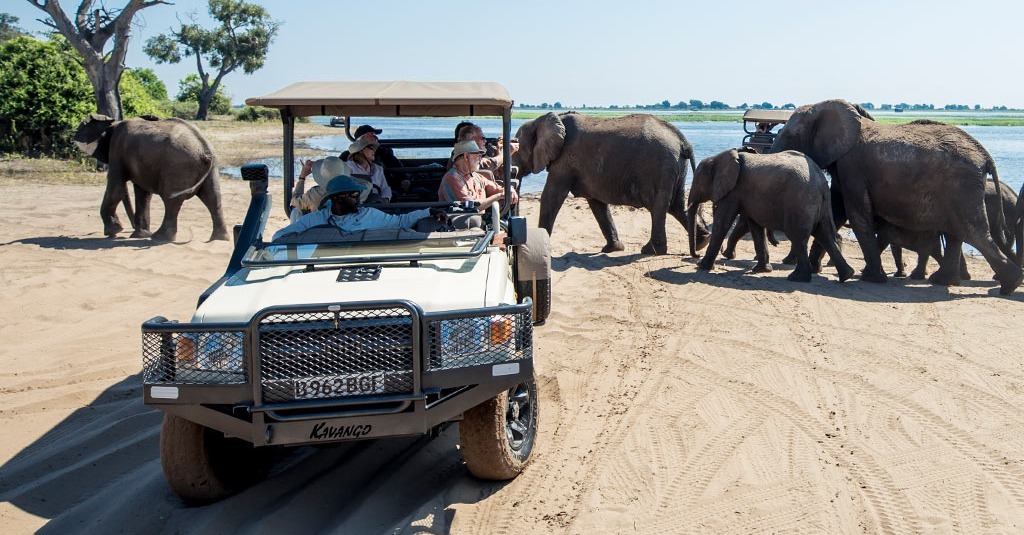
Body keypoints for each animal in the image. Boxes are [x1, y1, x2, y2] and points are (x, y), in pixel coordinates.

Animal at [74, 114, 229, 242]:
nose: (127, 229)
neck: (112, 123)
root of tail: (205, 150)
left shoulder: (117, 149)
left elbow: (116, 189)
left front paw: (114, 231)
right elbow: (143, 193)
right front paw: (139, 235)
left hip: (178, 167)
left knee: (171, 200)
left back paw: (159, 237)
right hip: (210, 168)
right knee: (213, 198)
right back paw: (219, 239)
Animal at [511, 111, 709, 255]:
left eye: (516, 148)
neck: (544, 119)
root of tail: (683, 141)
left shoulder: (564, 162)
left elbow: (551, 197)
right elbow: (597, 204)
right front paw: (613, 249)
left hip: (659, 167)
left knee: (659, 206)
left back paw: (651, 251)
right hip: (676, 167)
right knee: (677, 205)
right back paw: (702, 242)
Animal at [686, 148, 854, 283]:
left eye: (698, 183)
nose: (696, 256)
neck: (718, 158)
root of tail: (821, 180)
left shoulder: (733, 192)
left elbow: (723, 224)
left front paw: (701, 267)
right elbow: (755, 227)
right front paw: (761, 270)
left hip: (799, 203)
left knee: (798, 237)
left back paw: (797, 278)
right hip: (823, 204)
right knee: (825, 234)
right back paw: (847, 275)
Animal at [770, 100, 1022, 294]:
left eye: (789, 135)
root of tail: (985, 154)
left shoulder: (853, 166)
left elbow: (857, 215)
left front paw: (871, 278)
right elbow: (837, 211)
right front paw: (819, 270)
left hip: (961, 186)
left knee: (974, 232)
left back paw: (1008, 284)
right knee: (958, 233)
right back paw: (945, 281)